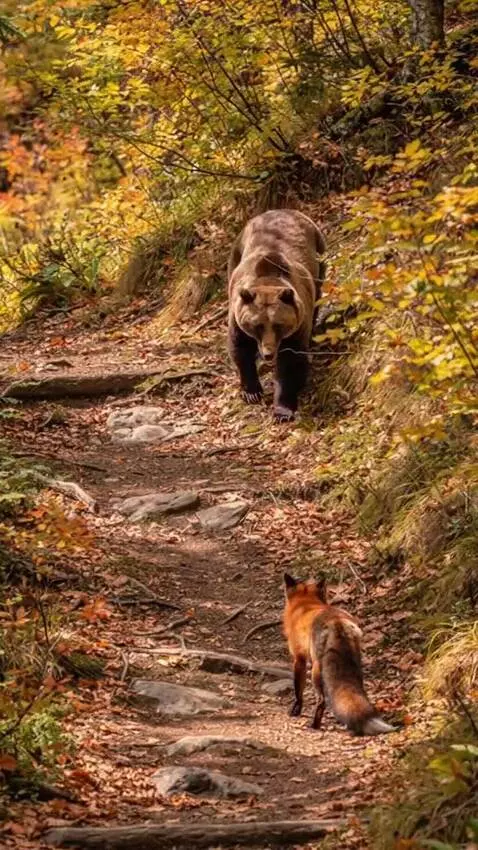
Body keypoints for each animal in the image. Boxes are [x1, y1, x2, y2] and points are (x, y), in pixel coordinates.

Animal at [282, 573, 395, 736]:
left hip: (317, 669)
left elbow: (298, 691)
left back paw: (314, 725)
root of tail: (338, 622)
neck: (305, 604)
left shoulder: (299, 659)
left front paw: (296, 710)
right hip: (356, 666)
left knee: (321, 701)